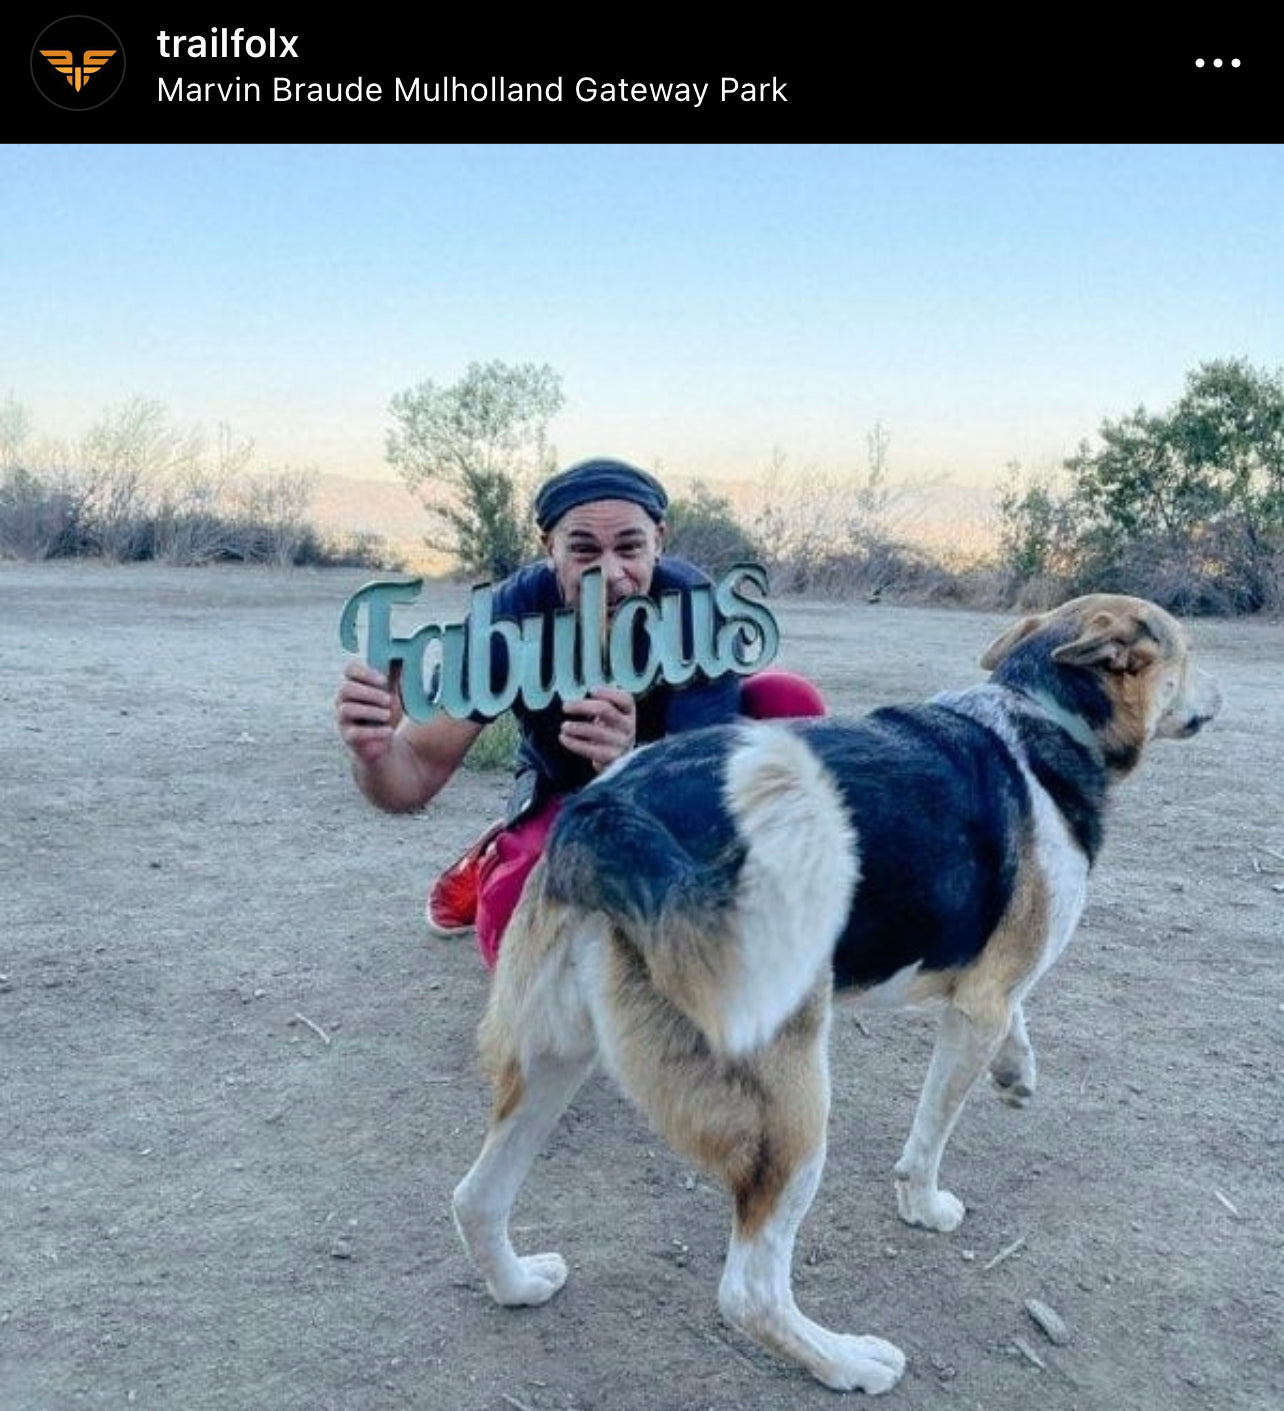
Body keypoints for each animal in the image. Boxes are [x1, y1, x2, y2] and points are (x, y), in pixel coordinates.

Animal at [451, 592, 1224, 1388]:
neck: (1040, 710)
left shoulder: (986, 989)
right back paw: (850, 1361)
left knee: (475, 1197)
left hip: (552, 1060)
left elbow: (1015, 1016)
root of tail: (607, 809)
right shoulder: (977, 1007)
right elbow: (932, 1129)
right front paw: (925, 1205)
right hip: (792, 1104)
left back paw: (518, 1283)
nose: (1221, 696)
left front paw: (1017, 1071)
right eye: (1189, 652)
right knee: (750, 1290)